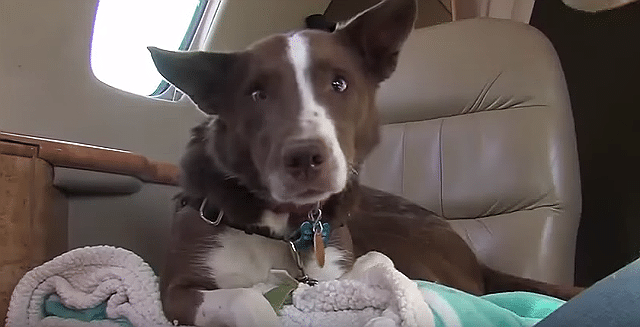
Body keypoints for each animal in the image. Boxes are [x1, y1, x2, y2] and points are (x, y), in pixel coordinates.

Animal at [148, 1, 584, 326]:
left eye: (339, 83)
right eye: (257, 94)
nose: (305, 157)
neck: (282, 226)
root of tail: (476, 261)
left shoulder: (334, 273)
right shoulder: (177, 288)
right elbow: (246, 299)